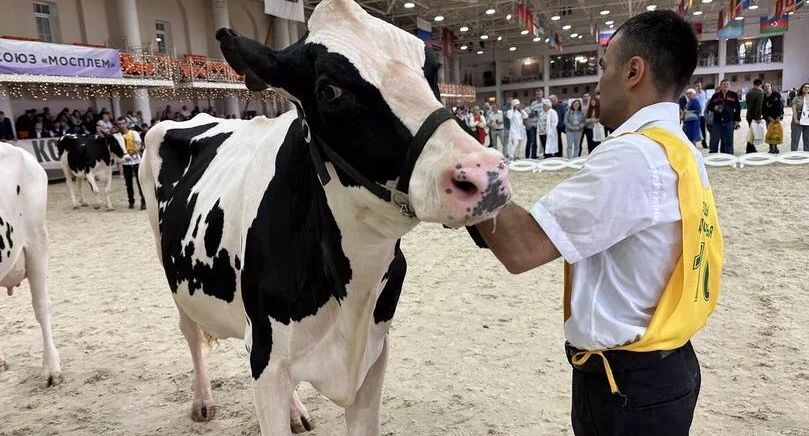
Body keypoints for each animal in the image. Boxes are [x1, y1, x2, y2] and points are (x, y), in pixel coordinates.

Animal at [137, 1, 508, 434]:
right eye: (329, 90)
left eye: (431, 72)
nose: (486, 173)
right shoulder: (268, 359)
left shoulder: (373, 354)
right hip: (168, 265)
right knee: (191, 332)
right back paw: (202, 401)